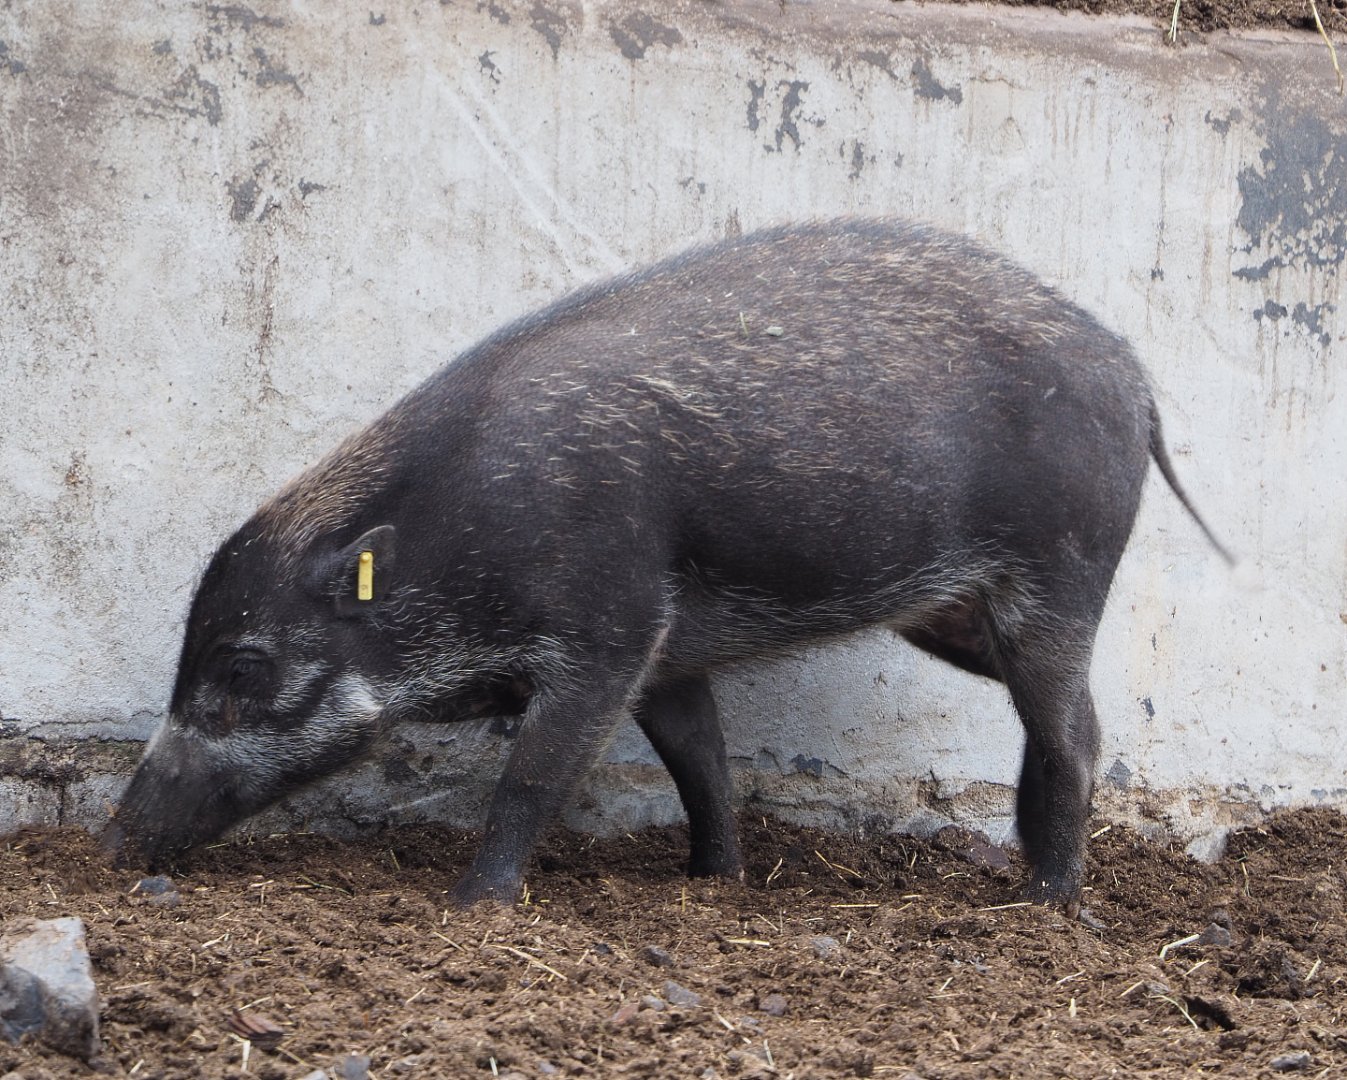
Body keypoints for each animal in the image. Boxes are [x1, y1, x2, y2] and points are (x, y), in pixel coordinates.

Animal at [103, 219, 1227, 911]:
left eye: (243, 668)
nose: (110, 842)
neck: (459, 547)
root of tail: (1138, 381)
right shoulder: (672, 654)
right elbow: (701, 764)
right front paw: (709, 883)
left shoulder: (608, 626)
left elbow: (536, 774)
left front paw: (473, 905)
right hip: (953, 616)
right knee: (1069, 715)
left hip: (1060, 573)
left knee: (1074, 729)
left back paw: (1044, 900)